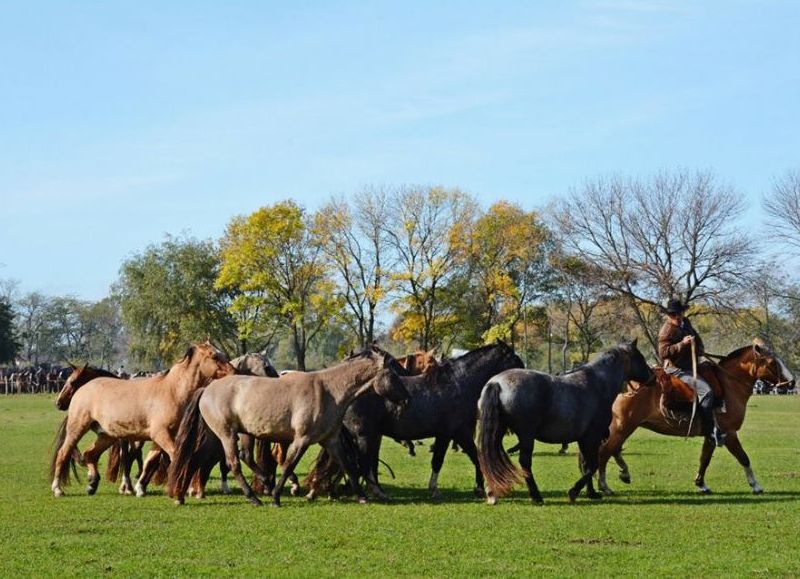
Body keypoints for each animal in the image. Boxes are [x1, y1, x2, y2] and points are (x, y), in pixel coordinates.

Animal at [49, 344, 233, 498]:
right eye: (214, 356)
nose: (234, 371)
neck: (172, 391)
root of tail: (83, 389)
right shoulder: (160, 434)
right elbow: (175, 456)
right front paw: (182, 488)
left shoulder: (159, 438)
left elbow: (150, 461)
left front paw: (139, 488)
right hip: (77, 429)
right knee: (63, 453)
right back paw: (58, 489)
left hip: (107, 436)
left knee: (90, 454)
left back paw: (92, 484)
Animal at [166, 348, 410, 508]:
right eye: (393, 374)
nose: (407, 398)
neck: (328, 391)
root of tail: (207, 390)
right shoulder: (301, 439)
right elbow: (288, 465)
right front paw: (276, 498)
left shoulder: (330, 440)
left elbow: (348, 466)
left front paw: (362, 497)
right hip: (226, 435)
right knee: (232, 463)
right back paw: (254, 498)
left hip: (225, 436)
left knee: (199, 458)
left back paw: (181, 495)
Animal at [306, 342, 524, 500]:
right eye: (514, 358)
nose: (524, 374)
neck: (458, 384)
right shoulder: (457, 433)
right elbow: (469, 456)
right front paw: (479, 488)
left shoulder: (449, 434)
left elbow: (445, 459)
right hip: (363, 435)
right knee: (362, 462)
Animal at [476, 338, 648, 506]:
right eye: (640, 357)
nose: (650, 375)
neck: (597, 384)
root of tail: (497, 383)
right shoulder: (591, 437)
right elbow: (592, 465)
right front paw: (574, 492)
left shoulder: (584, 439)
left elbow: (586, 464)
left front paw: (591, 493)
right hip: (526, 435)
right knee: (524, 462)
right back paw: (536, 496)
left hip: (498, 431)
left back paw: (492, 493)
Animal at [600, 342, 792, 496]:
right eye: (772, 362)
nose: (792, 383)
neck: (729, 385)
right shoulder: (729, 433)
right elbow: (743, 458)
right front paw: (756, 485)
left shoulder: (712, 435)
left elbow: (704, 459)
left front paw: (701, 484)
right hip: (623, 426)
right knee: (605, 451)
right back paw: (604, 485)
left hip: (623, 427)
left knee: (612, 449)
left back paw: (621, 474)